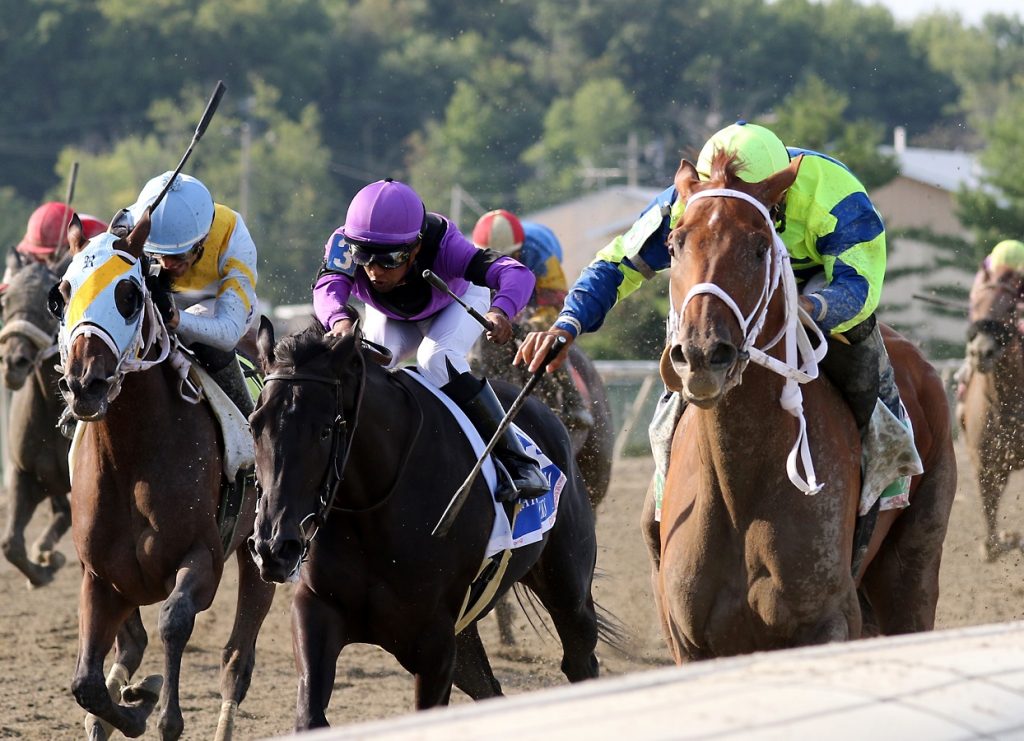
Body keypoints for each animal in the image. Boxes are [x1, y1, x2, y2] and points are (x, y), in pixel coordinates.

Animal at [53, 215, 274, 741]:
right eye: (64, 290)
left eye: (129, 293)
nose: (83, 383)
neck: (131, 455)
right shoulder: (99, 576)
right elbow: (85, 682)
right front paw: (131, 705)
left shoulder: (203, 558)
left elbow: (174, 620)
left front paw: (161, 710)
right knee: (130, 644)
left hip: (262, 554)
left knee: (237, 660)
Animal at [247, 319, 606, 728]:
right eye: (254, 426)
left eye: (324, 430)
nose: (274, 548)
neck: (374, 508)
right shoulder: (318, 608)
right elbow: (310, 715)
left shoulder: (434, 641)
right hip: (465, 632)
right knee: (490, 690)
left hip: (569, 593)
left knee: (580, 662)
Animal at [647, 153, 958, 663]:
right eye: (674, 244)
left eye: (759, 249)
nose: (701, 355)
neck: (740, 488)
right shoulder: (689, 640)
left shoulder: (828, 621)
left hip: (912, 569)